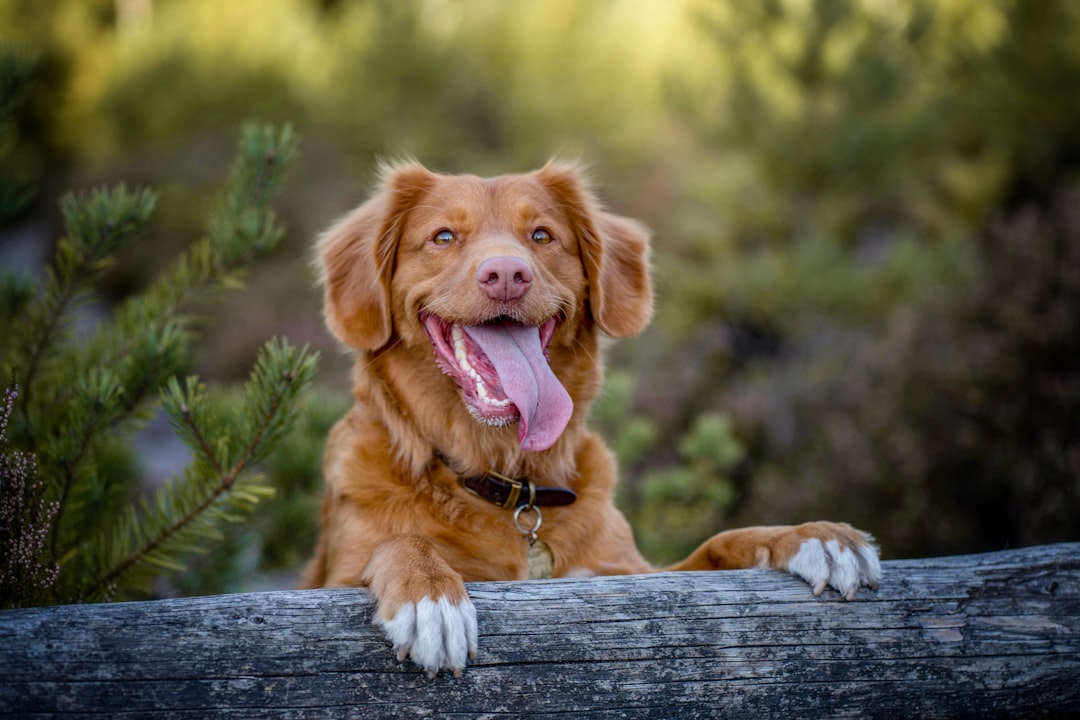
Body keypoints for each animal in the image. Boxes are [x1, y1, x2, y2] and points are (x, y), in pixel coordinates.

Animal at [302, 160, 876, 677]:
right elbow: (400, 542)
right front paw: (430, 596)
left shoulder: (630, 574)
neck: (510, 483)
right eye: (443, 236)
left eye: (541, 235)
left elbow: (718, 545)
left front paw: (809, 536)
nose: (506, 274)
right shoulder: (329, 582)